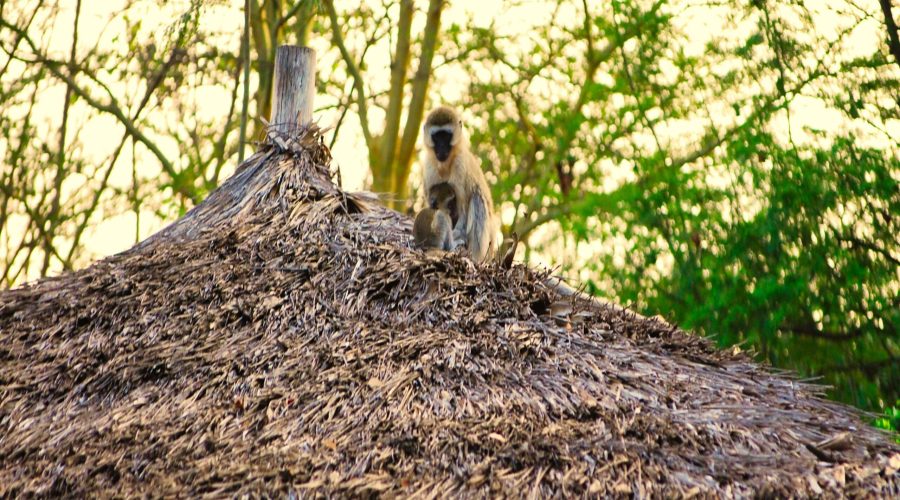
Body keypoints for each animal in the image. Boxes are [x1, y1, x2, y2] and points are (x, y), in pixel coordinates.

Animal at [424, 105, 500, 262]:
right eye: (437, 137)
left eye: (446, 136)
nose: (441, 148)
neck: (445, 164)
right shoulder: (428, 168)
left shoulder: (460, 166)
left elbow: (464, 210)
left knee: (477, 199)